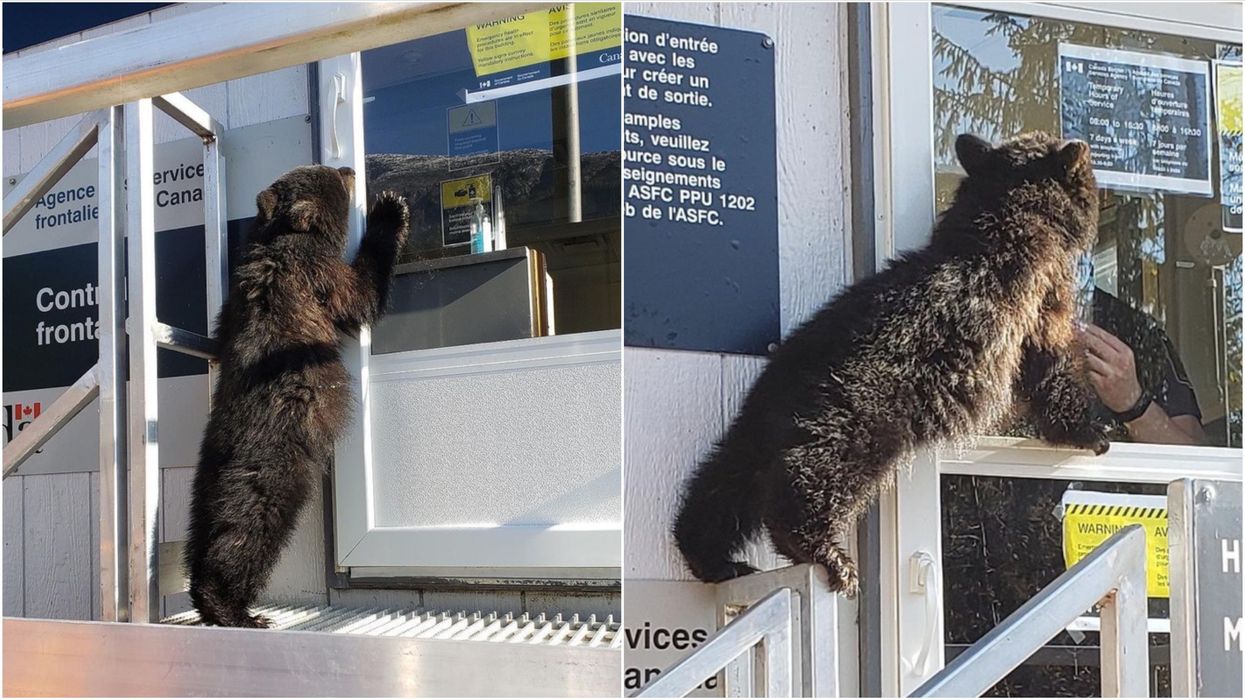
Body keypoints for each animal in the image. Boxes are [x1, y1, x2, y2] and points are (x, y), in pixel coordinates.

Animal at [184, 165, 409, 627]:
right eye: (333, 175)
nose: (349, 167)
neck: (278, 239)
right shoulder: (317, 274)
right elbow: (360, 293)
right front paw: (391, 208)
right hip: (275, 467)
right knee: (245, 531)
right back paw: (237, 609)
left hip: (206, 478)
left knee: (202, 528)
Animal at [672, 132, 1109, 597]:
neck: (1007, 220)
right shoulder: (1039, 299)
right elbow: (1051, 362)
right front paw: (1091, 430)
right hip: (864, 409)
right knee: (815, 469)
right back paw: (826, 552)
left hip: (758, 418)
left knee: (725, 479)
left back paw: (713, 557)